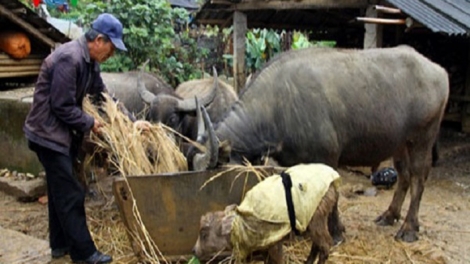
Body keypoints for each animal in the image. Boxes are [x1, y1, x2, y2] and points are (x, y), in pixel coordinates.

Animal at [193, 44, 450, 242]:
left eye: (217, 177)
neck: (279, 105)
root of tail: (439, 72)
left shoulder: (328, 159)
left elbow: (331, 196)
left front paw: (335, 233)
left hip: (422, 139)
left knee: (418, 178)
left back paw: (409, 229)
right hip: (400, 144)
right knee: (404, 176)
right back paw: (389, 216)